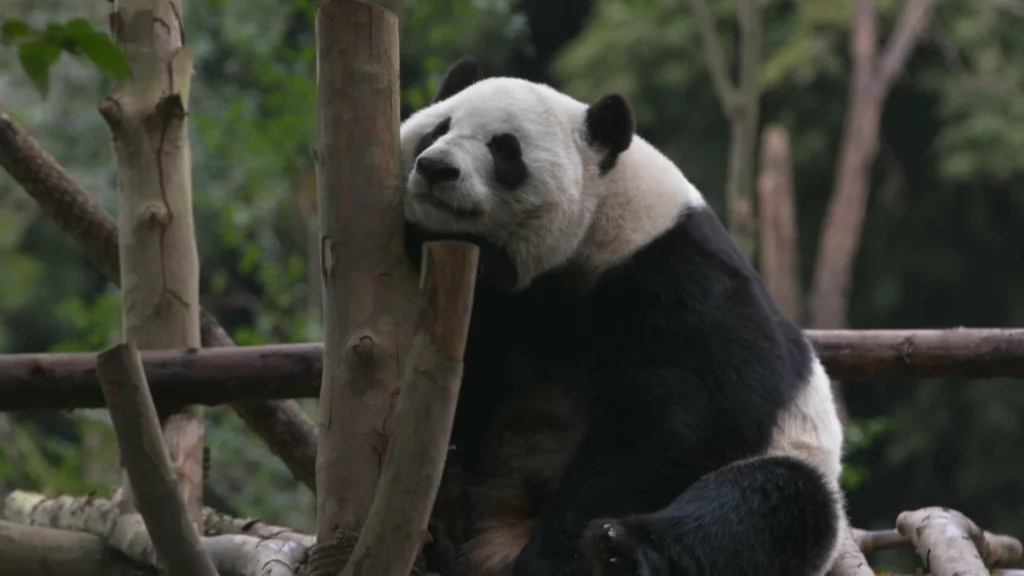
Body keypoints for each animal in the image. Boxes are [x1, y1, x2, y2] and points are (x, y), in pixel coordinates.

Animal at [401, 56, 847, 576]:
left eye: (505, 149)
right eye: (439, 128)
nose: (436, 167)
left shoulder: (674, 275)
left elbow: (677, 420)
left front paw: (558, 554)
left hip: (794, 463)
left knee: (772, 503)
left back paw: (617, 547)